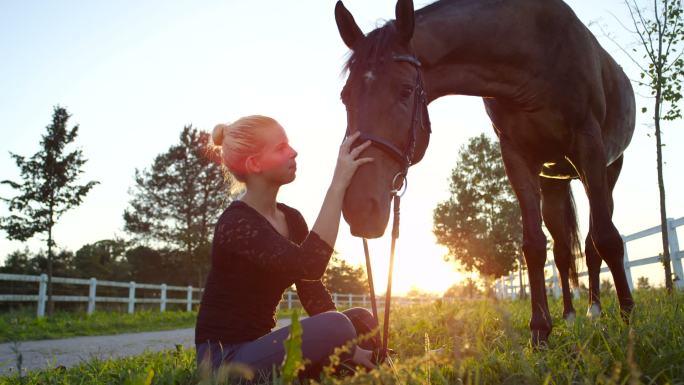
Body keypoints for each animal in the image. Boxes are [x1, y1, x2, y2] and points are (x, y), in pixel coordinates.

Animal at [336, 0, 636, 344]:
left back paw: (595, 312)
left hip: (606, 172)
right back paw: (571, 317)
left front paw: (629, 321)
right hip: (553, 184)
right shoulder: (516, 157)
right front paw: (540, 331)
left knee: (593, 242)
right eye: (345, 96)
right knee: (562, 251)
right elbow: (534, 245)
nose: (359, 208)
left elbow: (606, 238)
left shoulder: (591, 148)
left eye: (405, 90)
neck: (535, 48)